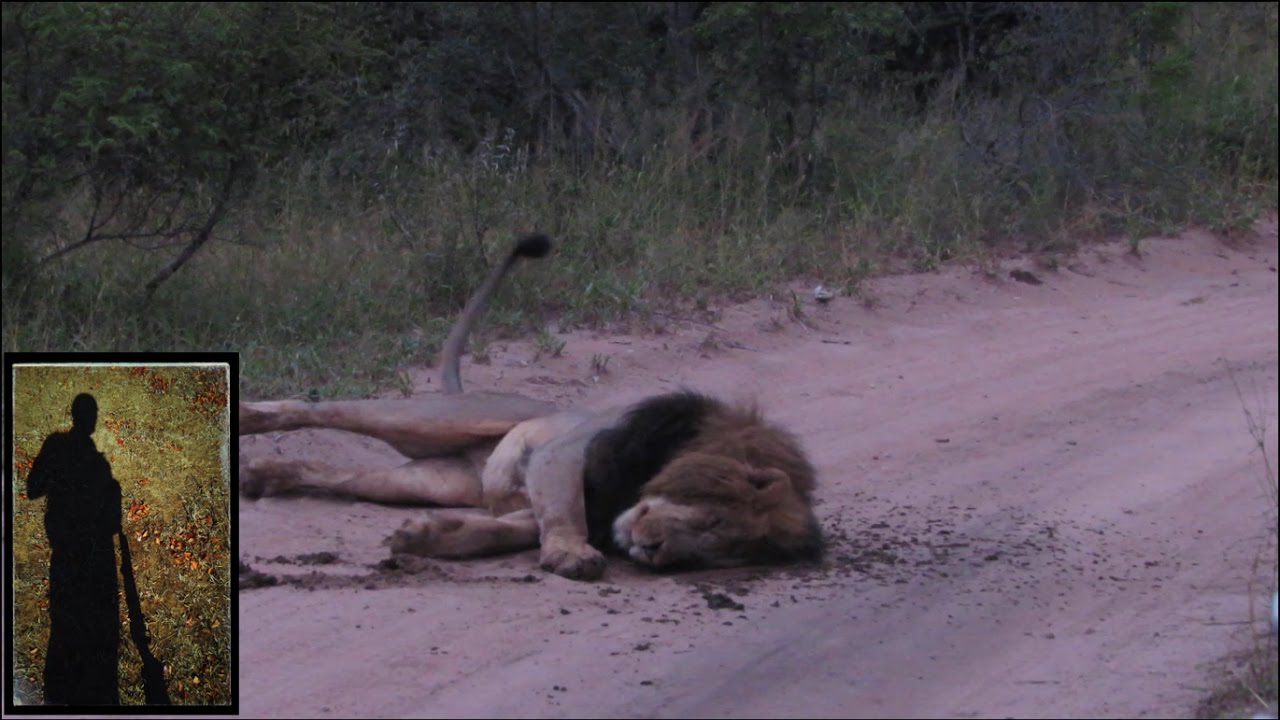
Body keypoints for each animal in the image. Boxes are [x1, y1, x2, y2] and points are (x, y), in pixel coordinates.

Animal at [239, 234, 822, 581]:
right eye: (711, 520)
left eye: (713, 550)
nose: (653, 550)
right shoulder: (564, 455)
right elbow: (565, 513)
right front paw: (570, 554)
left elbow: (508, 528)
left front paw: (428, 538)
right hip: (441, 418)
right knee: (326, 409)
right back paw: (246, 418)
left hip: (430, 480)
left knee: (335, 472)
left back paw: (262, 475)